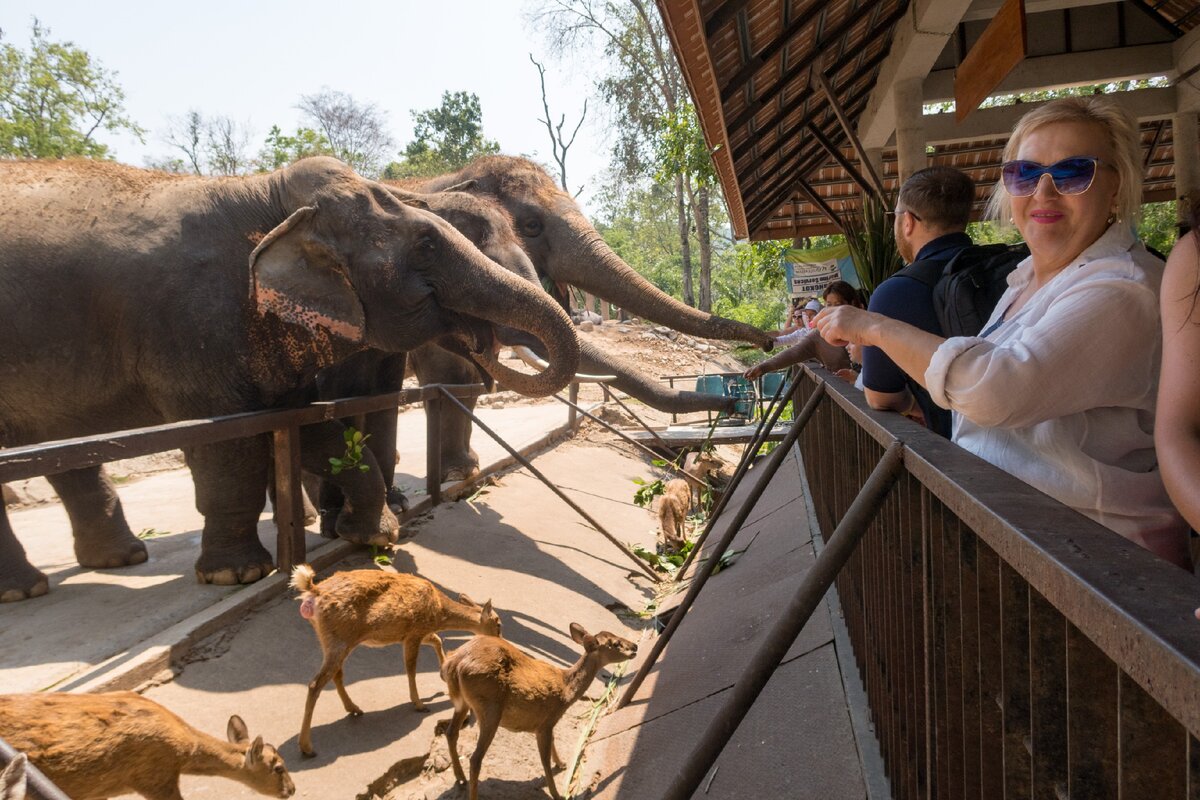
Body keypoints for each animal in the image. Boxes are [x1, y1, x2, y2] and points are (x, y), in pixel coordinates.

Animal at [0, 155, 580, 599]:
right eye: (426, 245)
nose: (484, 342)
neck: (266, 194)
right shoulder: (191, 323)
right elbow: (227, 443)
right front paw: (237, 575)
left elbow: (310, 425)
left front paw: (375, 535)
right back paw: (30, 589)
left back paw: (117, 560)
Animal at [292, 563, 504, 758]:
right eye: (498, 624)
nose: (501, 641)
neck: (439, 611)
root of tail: (314, 590)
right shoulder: (414, 632)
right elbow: (411, 667)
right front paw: (419, 704)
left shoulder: (415, 633)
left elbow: (436, 639)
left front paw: (442, 676)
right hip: (340, 638)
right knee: (315, 684)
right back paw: (307, 747)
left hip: (331, 639)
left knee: (336, 674)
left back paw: (354, 708)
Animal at [441, 623, 638, 800]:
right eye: (615, 643)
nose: (635, 647)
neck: (566, 691)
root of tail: (454, 663)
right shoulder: (547, 720)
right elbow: (544, 759)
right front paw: (557, 794)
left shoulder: (546, 723)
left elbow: (552, 745)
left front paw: (562, 763)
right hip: (490, 707)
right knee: (475, 759)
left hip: (462, 703)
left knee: (451, 733)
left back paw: (460, 778)